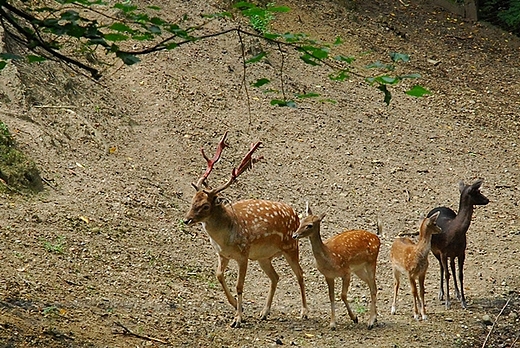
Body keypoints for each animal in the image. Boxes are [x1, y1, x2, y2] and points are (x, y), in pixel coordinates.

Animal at [183, 132, 306, 328]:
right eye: (192, 200)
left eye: (205, 206)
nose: (186, 220)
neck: (225, 238)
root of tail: (295, 215)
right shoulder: (222, 254)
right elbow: (218, 275)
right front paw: (235, 305)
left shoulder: (244, 254)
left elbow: (239, 285)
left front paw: (238, 319)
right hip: (264, 257)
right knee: (275, 276)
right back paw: (264, 312)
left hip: (291, 246)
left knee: (300, 274)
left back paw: (304, 312)